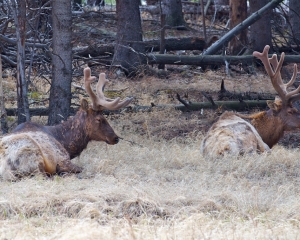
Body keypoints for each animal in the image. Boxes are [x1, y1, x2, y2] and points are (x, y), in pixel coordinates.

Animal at [0, 67, 134, 180]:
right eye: (99, 119)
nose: (115, 138)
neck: (65, 142)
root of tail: (5, 171)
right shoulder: (62, 158)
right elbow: (82, 169)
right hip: (32, 156)